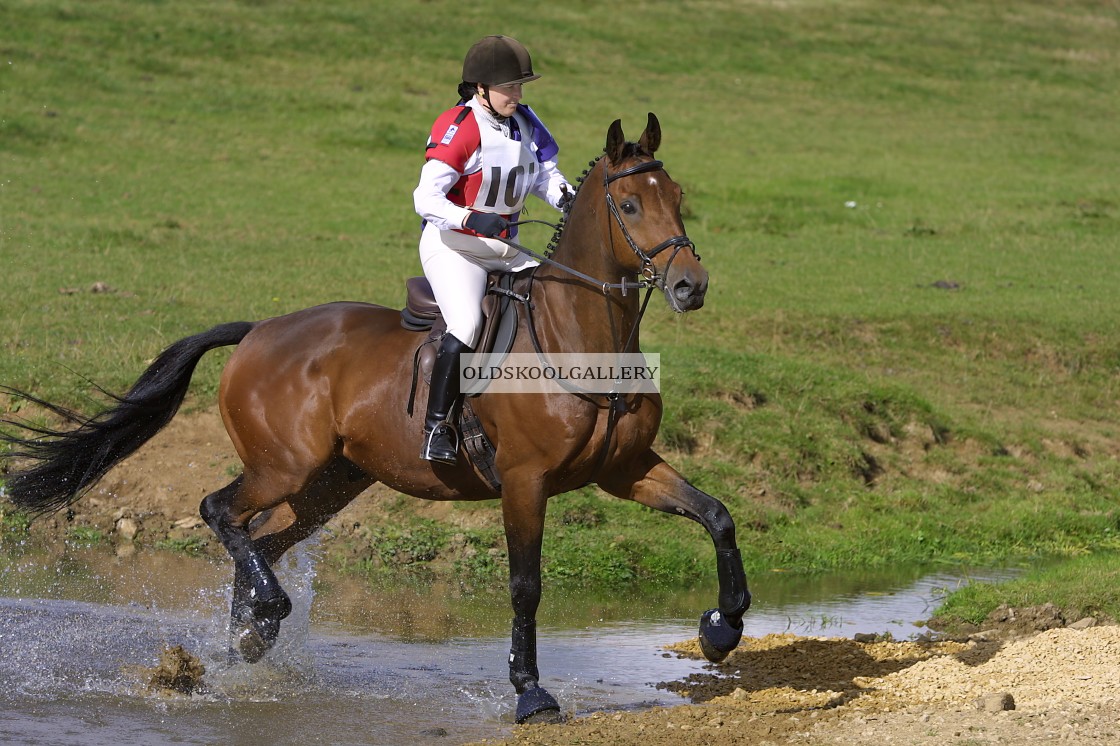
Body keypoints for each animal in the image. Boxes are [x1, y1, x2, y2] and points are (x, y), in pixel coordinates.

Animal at [4, 112, 752, 721]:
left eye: (677, 199)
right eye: (629, 203)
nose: (691, 286)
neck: (580, 337)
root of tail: (257, 332)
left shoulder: (625, 469)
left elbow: (716, 516)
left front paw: (722, 629)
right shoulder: (525, 482)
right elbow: (525, 586)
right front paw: (531, 693)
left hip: (330, 482)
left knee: (261, 540)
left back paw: (248, 640)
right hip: (283, 467)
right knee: (219, 511)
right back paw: (264, 615)